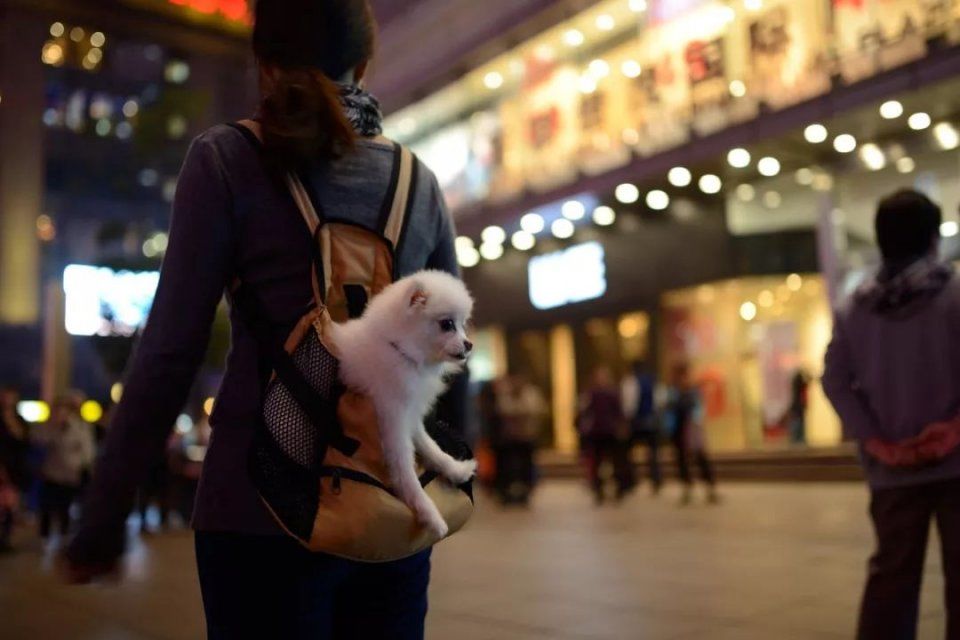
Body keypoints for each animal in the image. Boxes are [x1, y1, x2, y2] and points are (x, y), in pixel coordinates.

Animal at [328, 268, 478, 536]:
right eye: (447, 324)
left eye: (463, 325)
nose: (469, 344)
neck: (401, 351)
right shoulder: (393, 418)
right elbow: (404, 468)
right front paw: (428, 512)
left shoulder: (409, 414)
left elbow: (430, 446)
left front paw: (454, 469)